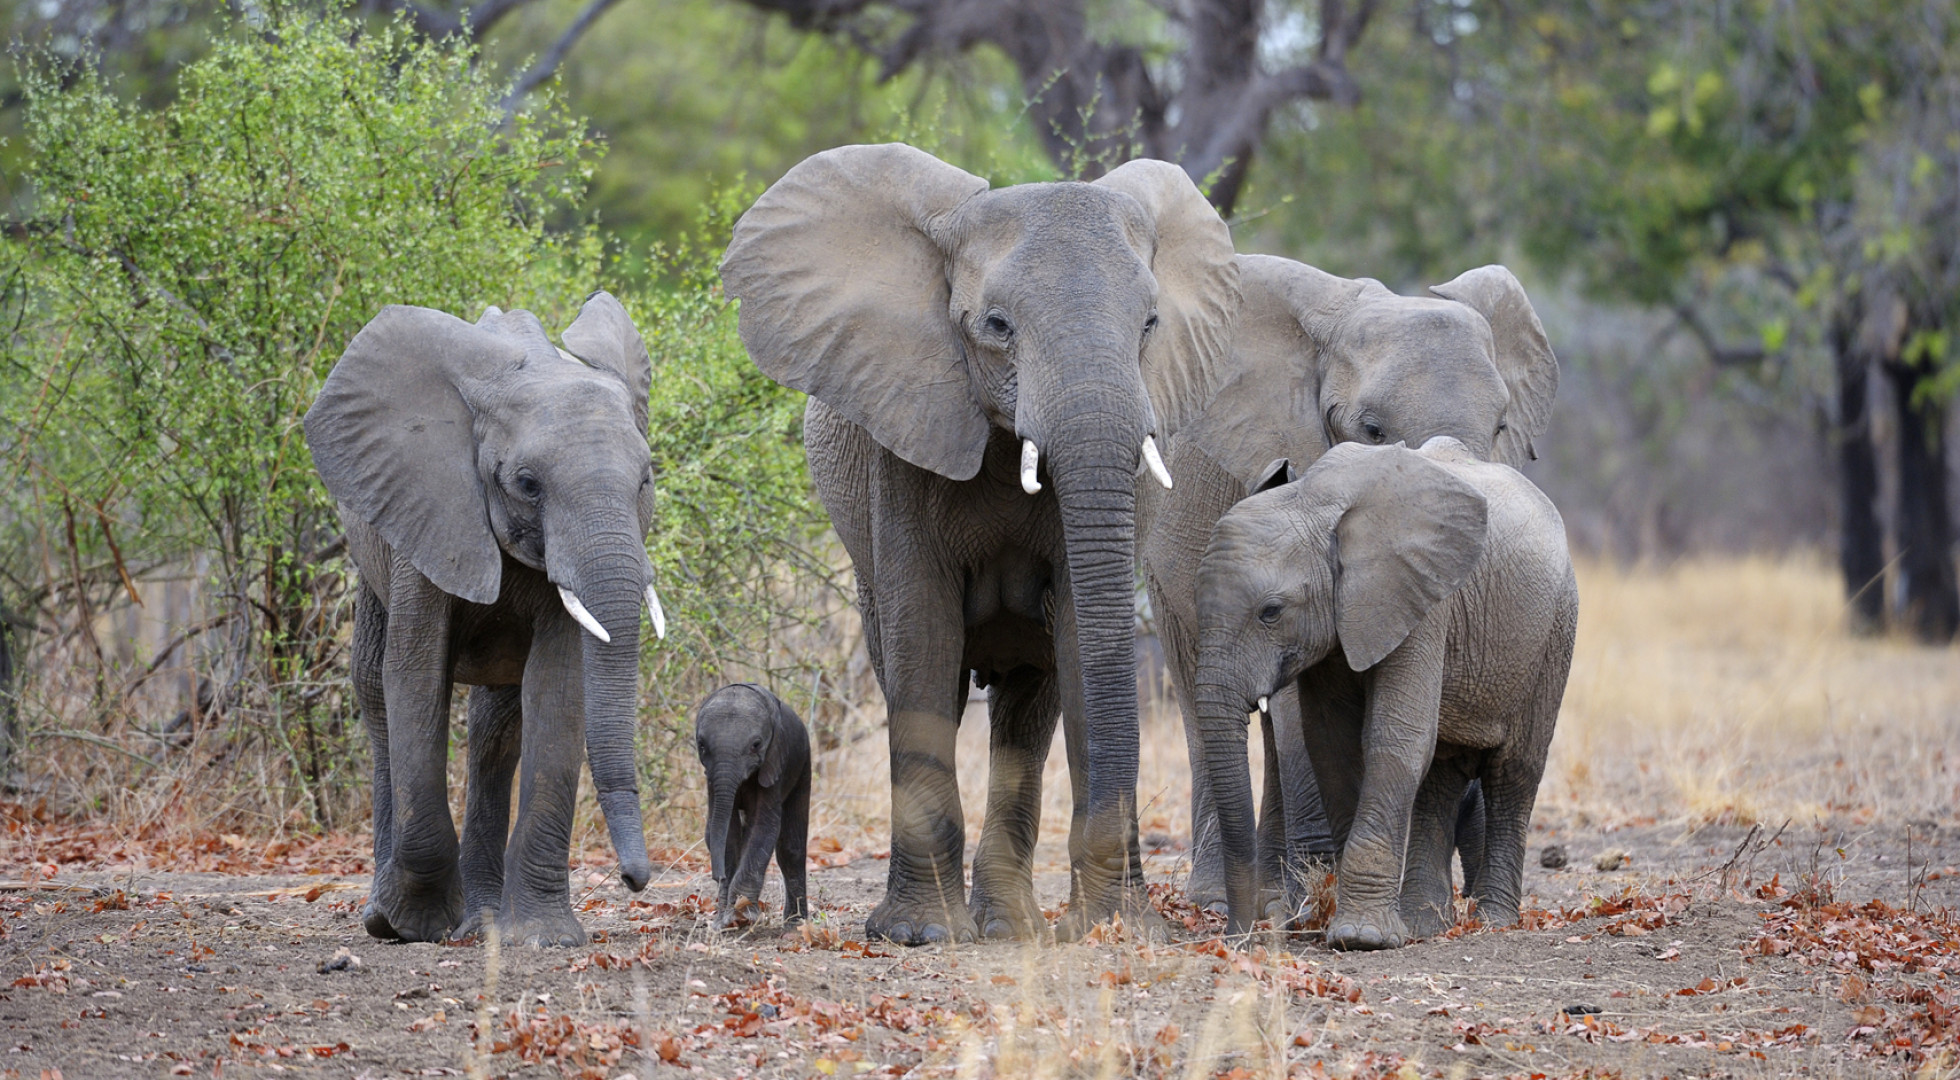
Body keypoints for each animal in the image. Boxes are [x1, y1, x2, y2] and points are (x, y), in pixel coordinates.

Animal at [303, 292, 667, 947]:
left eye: (644, 480)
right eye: (527, 484)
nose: (635, 880)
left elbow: (556, 691)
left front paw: (544, 937)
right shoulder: (425, 506)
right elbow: (415, 679)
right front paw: (412, 923)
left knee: (497, 727)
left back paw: (484, 923)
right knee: (374, 689)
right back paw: (386, 915)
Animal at [694, 683, 811, 930]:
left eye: (756, 745)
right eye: (701, 745)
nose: (717, 876)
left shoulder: (775, 761)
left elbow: (764, 826)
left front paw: (745, 916)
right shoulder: (712, 779)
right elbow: (726, 830)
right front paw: (725, 921)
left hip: (804, 762)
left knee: (791, 849)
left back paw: (796, 925)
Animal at [720, 144, 1239, 945]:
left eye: (1152, 324)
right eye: (996, 325)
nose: (1125, 919)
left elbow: (1082, 641)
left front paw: (1114, 930)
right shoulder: (903, 435)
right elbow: (924, 636)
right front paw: (919, 935)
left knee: (1029, 703)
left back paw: (1011, 926)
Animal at [1193, 438, 1577, 949]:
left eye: (1270, 612)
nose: (1239, 936)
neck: (1312, 502)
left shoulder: (1420, 599)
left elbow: (1395, 737)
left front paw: (1361, 937)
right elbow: (1331, 744)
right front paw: (1364, 929)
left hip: (1553, 631)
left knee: (1514, 771)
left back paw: (1492, 921)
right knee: (1442, 770)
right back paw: (1426, 925)